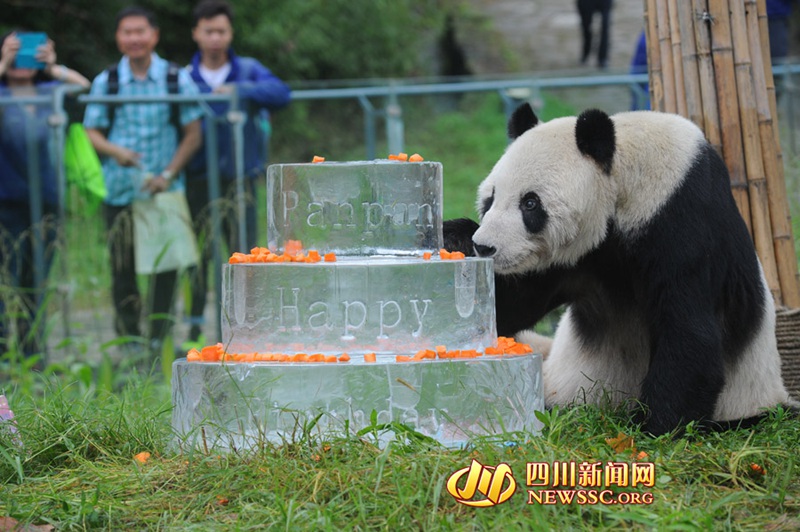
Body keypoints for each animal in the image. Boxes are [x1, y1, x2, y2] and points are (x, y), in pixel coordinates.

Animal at [444, 103, 798, 436]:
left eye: (530, 204)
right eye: (490, 199)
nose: (485, 247)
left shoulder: (683, 221)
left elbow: (689, 330)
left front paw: (654, 427)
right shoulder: (576, 258)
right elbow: (513, 307)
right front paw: (455, 238)